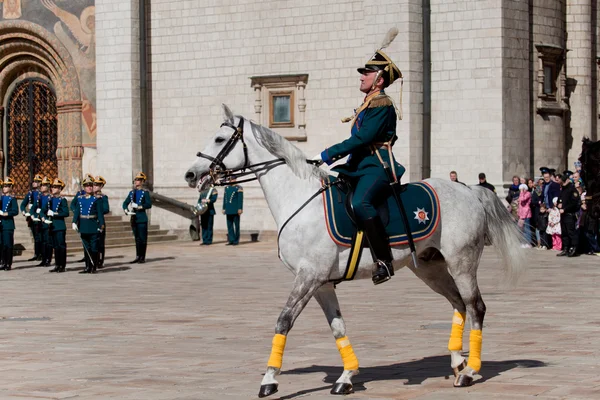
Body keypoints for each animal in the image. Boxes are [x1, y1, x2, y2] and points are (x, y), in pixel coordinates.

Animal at [184, 104, 524, 398]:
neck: (298, 198)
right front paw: (347, 377)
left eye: (219, 139)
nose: (190, 174)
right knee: (458, 303)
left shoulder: (308, 277)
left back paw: (471, 371)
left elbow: (283, 321)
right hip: (431, 267)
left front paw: (269, 380)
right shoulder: (321, 283)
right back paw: (457, 362)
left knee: (476, 306)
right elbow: (337, 327)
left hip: (462, 262)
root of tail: (469, 190)